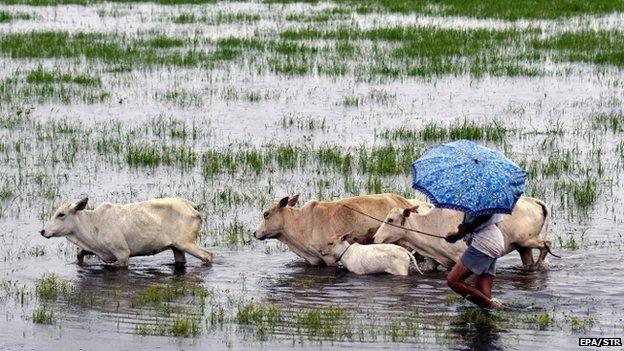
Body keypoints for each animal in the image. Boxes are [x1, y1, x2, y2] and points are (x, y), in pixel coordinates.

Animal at [40, 198, 214, 266]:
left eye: (61, 214)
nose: (43, 231)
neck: (93, 225)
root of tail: (192, 206)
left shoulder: (122, 253)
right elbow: (79, 255)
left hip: (186, 243)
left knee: (208, 255)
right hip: (176, 248)